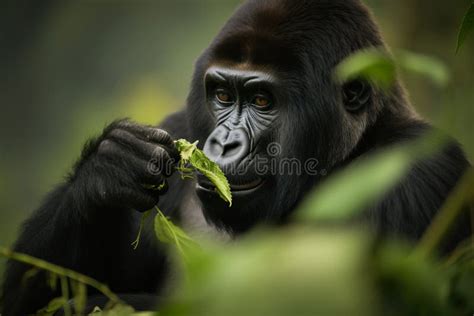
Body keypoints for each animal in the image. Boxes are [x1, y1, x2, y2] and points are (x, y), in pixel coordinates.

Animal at [1, 0, 472, 314]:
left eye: (263, 100)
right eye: (223, 95)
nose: (223, 144)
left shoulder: (424, 172)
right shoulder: (179, 125)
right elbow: (27, 299)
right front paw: (105, 170)